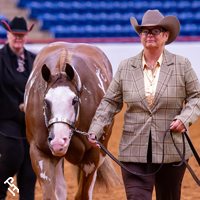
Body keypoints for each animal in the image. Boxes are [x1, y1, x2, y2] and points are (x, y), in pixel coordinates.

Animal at [24, 41, 121, 199]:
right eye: (45, 101)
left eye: (74, 100)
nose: (58, 141)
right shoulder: (39, 153)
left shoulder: (92, 158)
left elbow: (83, 194)